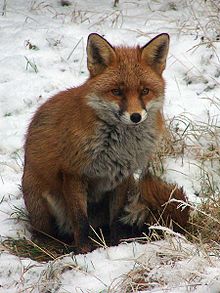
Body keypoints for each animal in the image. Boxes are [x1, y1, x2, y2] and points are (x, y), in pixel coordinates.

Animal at [21, 31, 170, 251]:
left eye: (145, 91)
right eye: (117, 91)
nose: (135, 117)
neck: (119, 147)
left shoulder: (122, 176)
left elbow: (116, 217)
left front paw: (116, 245)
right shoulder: (73, 173)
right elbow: (80, 221)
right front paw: (84, 252)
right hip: (43, 200)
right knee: (46, 233)